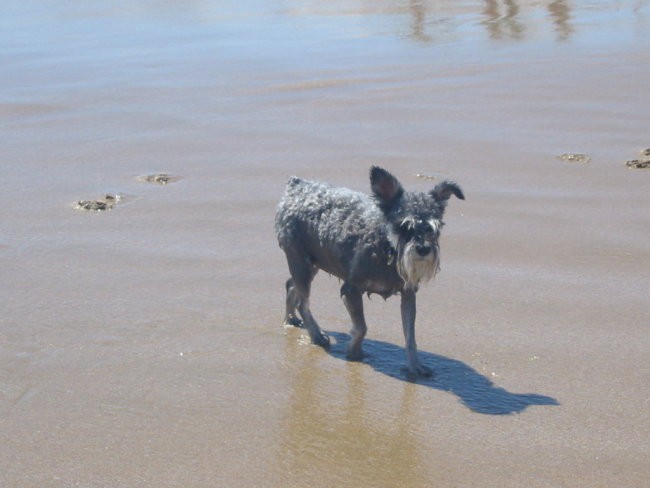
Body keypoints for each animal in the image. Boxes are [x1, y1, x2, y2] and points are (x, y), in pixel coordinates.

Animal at [276, 166, 464, 376]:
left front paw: (415, 365)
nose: (423, 249)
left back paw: (291, 318)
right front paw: (354, 352)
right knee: (303, 301)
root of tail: (296, 185)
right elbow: (361, 327)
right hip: (301, 262)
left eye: (434, 228)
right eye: (403, 226)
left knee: (291, 285)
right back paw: (316, 335)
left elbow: (410, 336)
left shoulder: (408, 295)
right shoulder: (351, 290)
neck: (386, 246)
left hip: (312, 263)